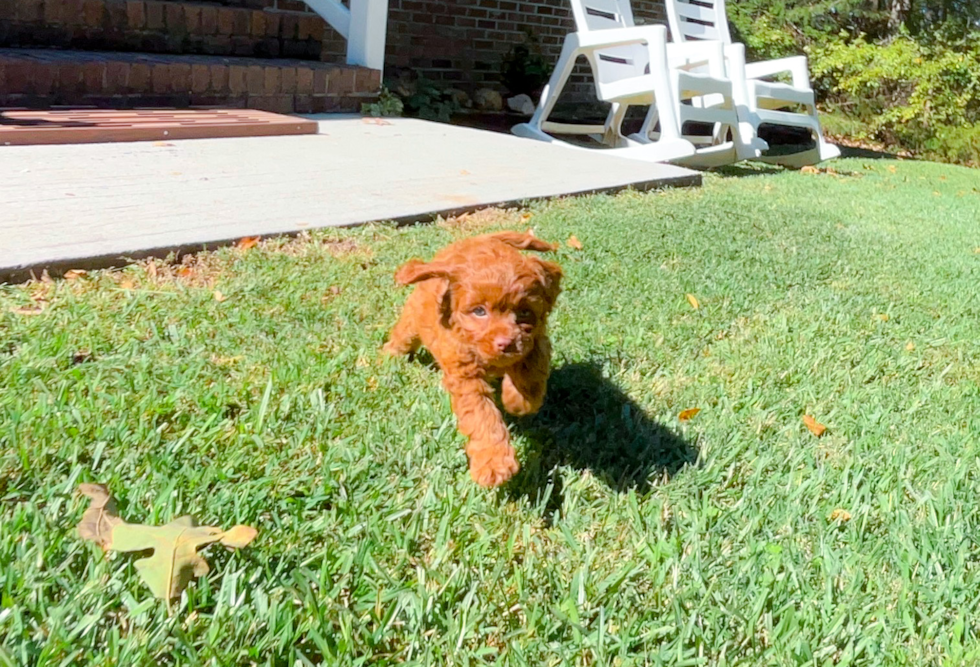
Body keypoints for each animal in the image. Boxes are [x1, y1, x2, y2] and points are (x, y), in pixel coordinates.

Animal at [384, 232, 568, 488]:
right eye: (479, 311)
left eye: (524, 312)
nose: (506, 343)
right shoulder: (465, 374)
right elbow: (482, 415)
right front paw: (494, 463)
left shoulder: (536, 339)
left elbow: (532, 370)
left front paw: (517, 401)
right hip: (413, 319)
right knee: (402, 336)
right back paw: (387, 357)